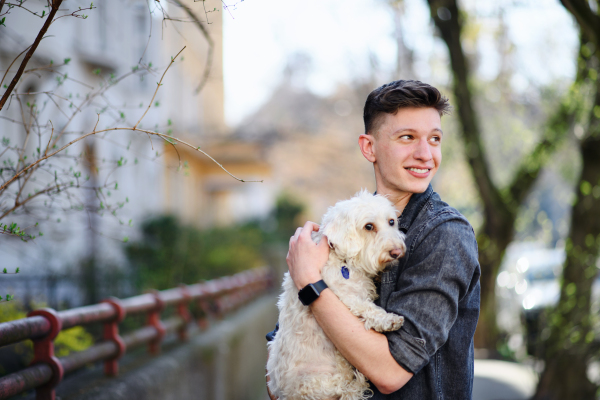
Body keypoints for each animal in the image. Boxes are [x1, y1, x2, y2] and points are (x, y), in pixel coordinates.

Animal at [268, 190, 406, 400]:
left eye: (391, 222)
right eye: (369, 226)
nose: (397, 252)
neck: (343, 260)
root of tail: (286, 394)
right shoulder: (343, 294)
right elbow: (368, 307)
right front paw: (389, 320)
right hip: (321, 382)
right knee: (345, 389)